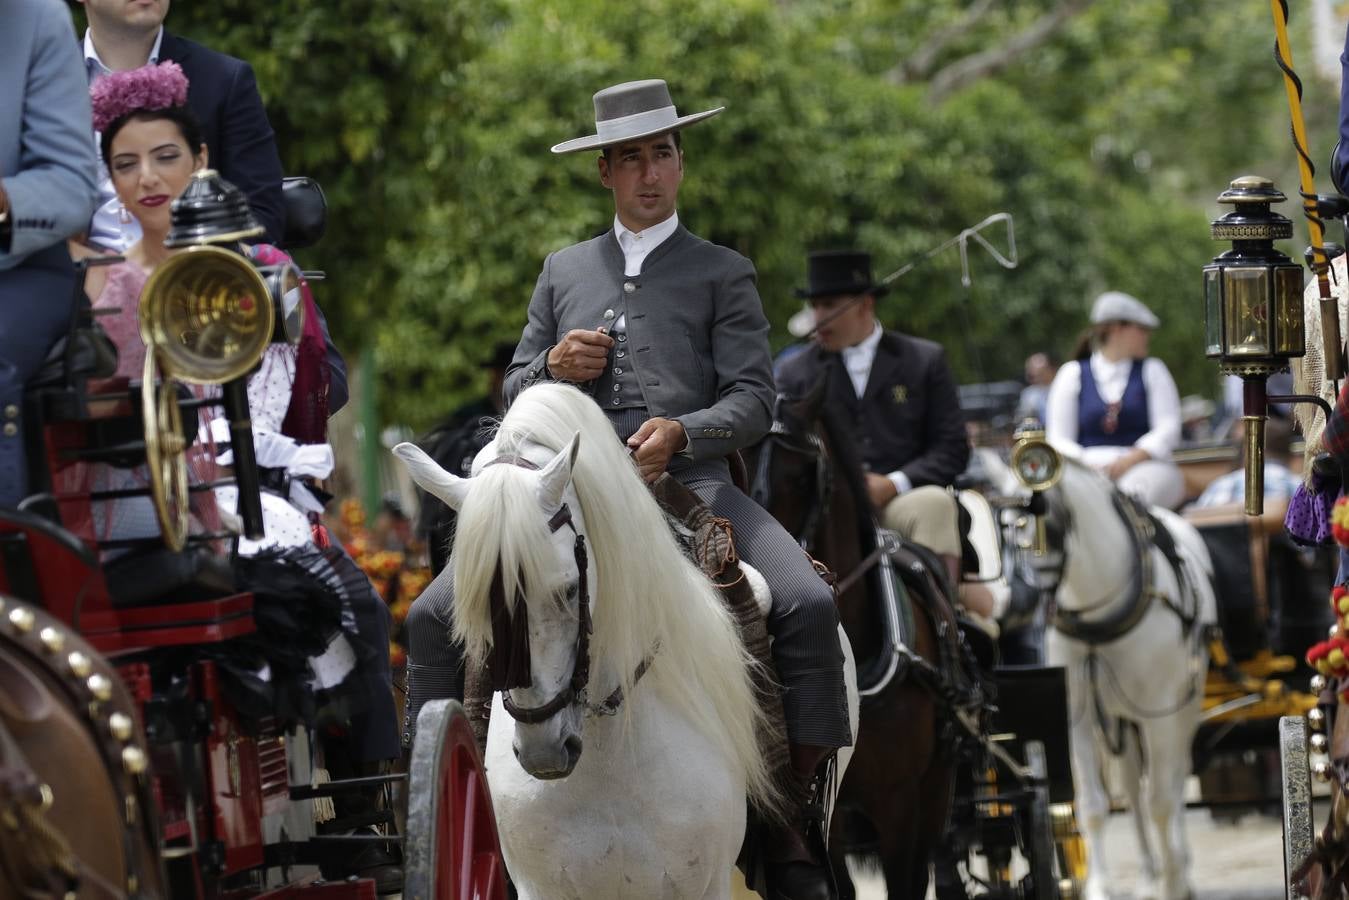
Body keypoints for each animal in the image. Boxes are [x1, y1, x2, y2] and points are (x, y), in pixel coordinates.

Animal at [393, 383, 852, 900]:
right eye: (473, 608)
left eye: (568, 589)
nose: (542, 752)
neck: (606, 755)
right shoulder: (540, 888)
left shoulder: (704, 884)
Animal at [1036, 461, 1219, 900]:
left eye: (1048, 522)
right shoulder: (1078, 718)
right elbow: (1092, 805)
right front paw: (1100, 887)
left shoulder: (1159, 715)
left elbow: (1162, 802)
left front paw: (1174, 883)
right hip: (1119, 717)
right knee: (1133, 788)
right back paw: (1148, 874)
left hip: (1183, 709)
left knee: (1172, 780)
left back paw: (1178, 868)